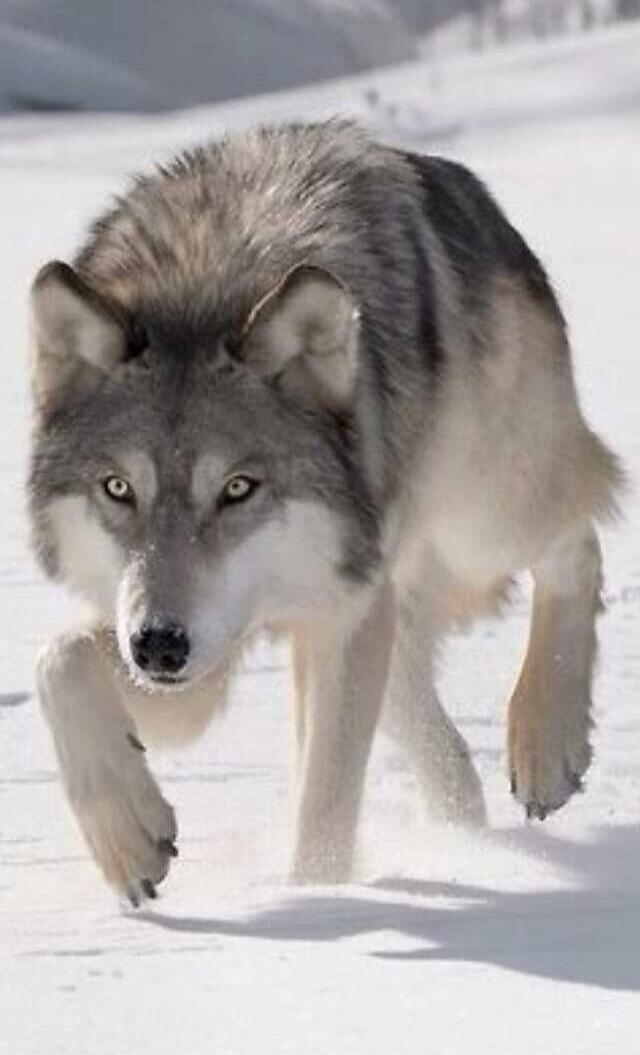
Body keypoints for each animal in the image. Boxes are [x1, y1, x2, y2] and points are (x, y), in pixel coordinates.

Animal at [28, 120, 622, 904]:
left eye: (239, 487)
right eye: (118, 488)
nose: (158, 645)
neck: (204, 282)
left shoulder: (332, 616)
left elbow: (327, 801)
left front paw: (316, 903)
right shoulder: (191, 656)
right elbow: (58, 660)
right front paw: (129, 840)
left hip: (480, 519)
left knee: (578, 540)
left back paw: (544, 747)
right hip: (381, 601)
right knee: (437, 742)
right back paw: (466, 836)